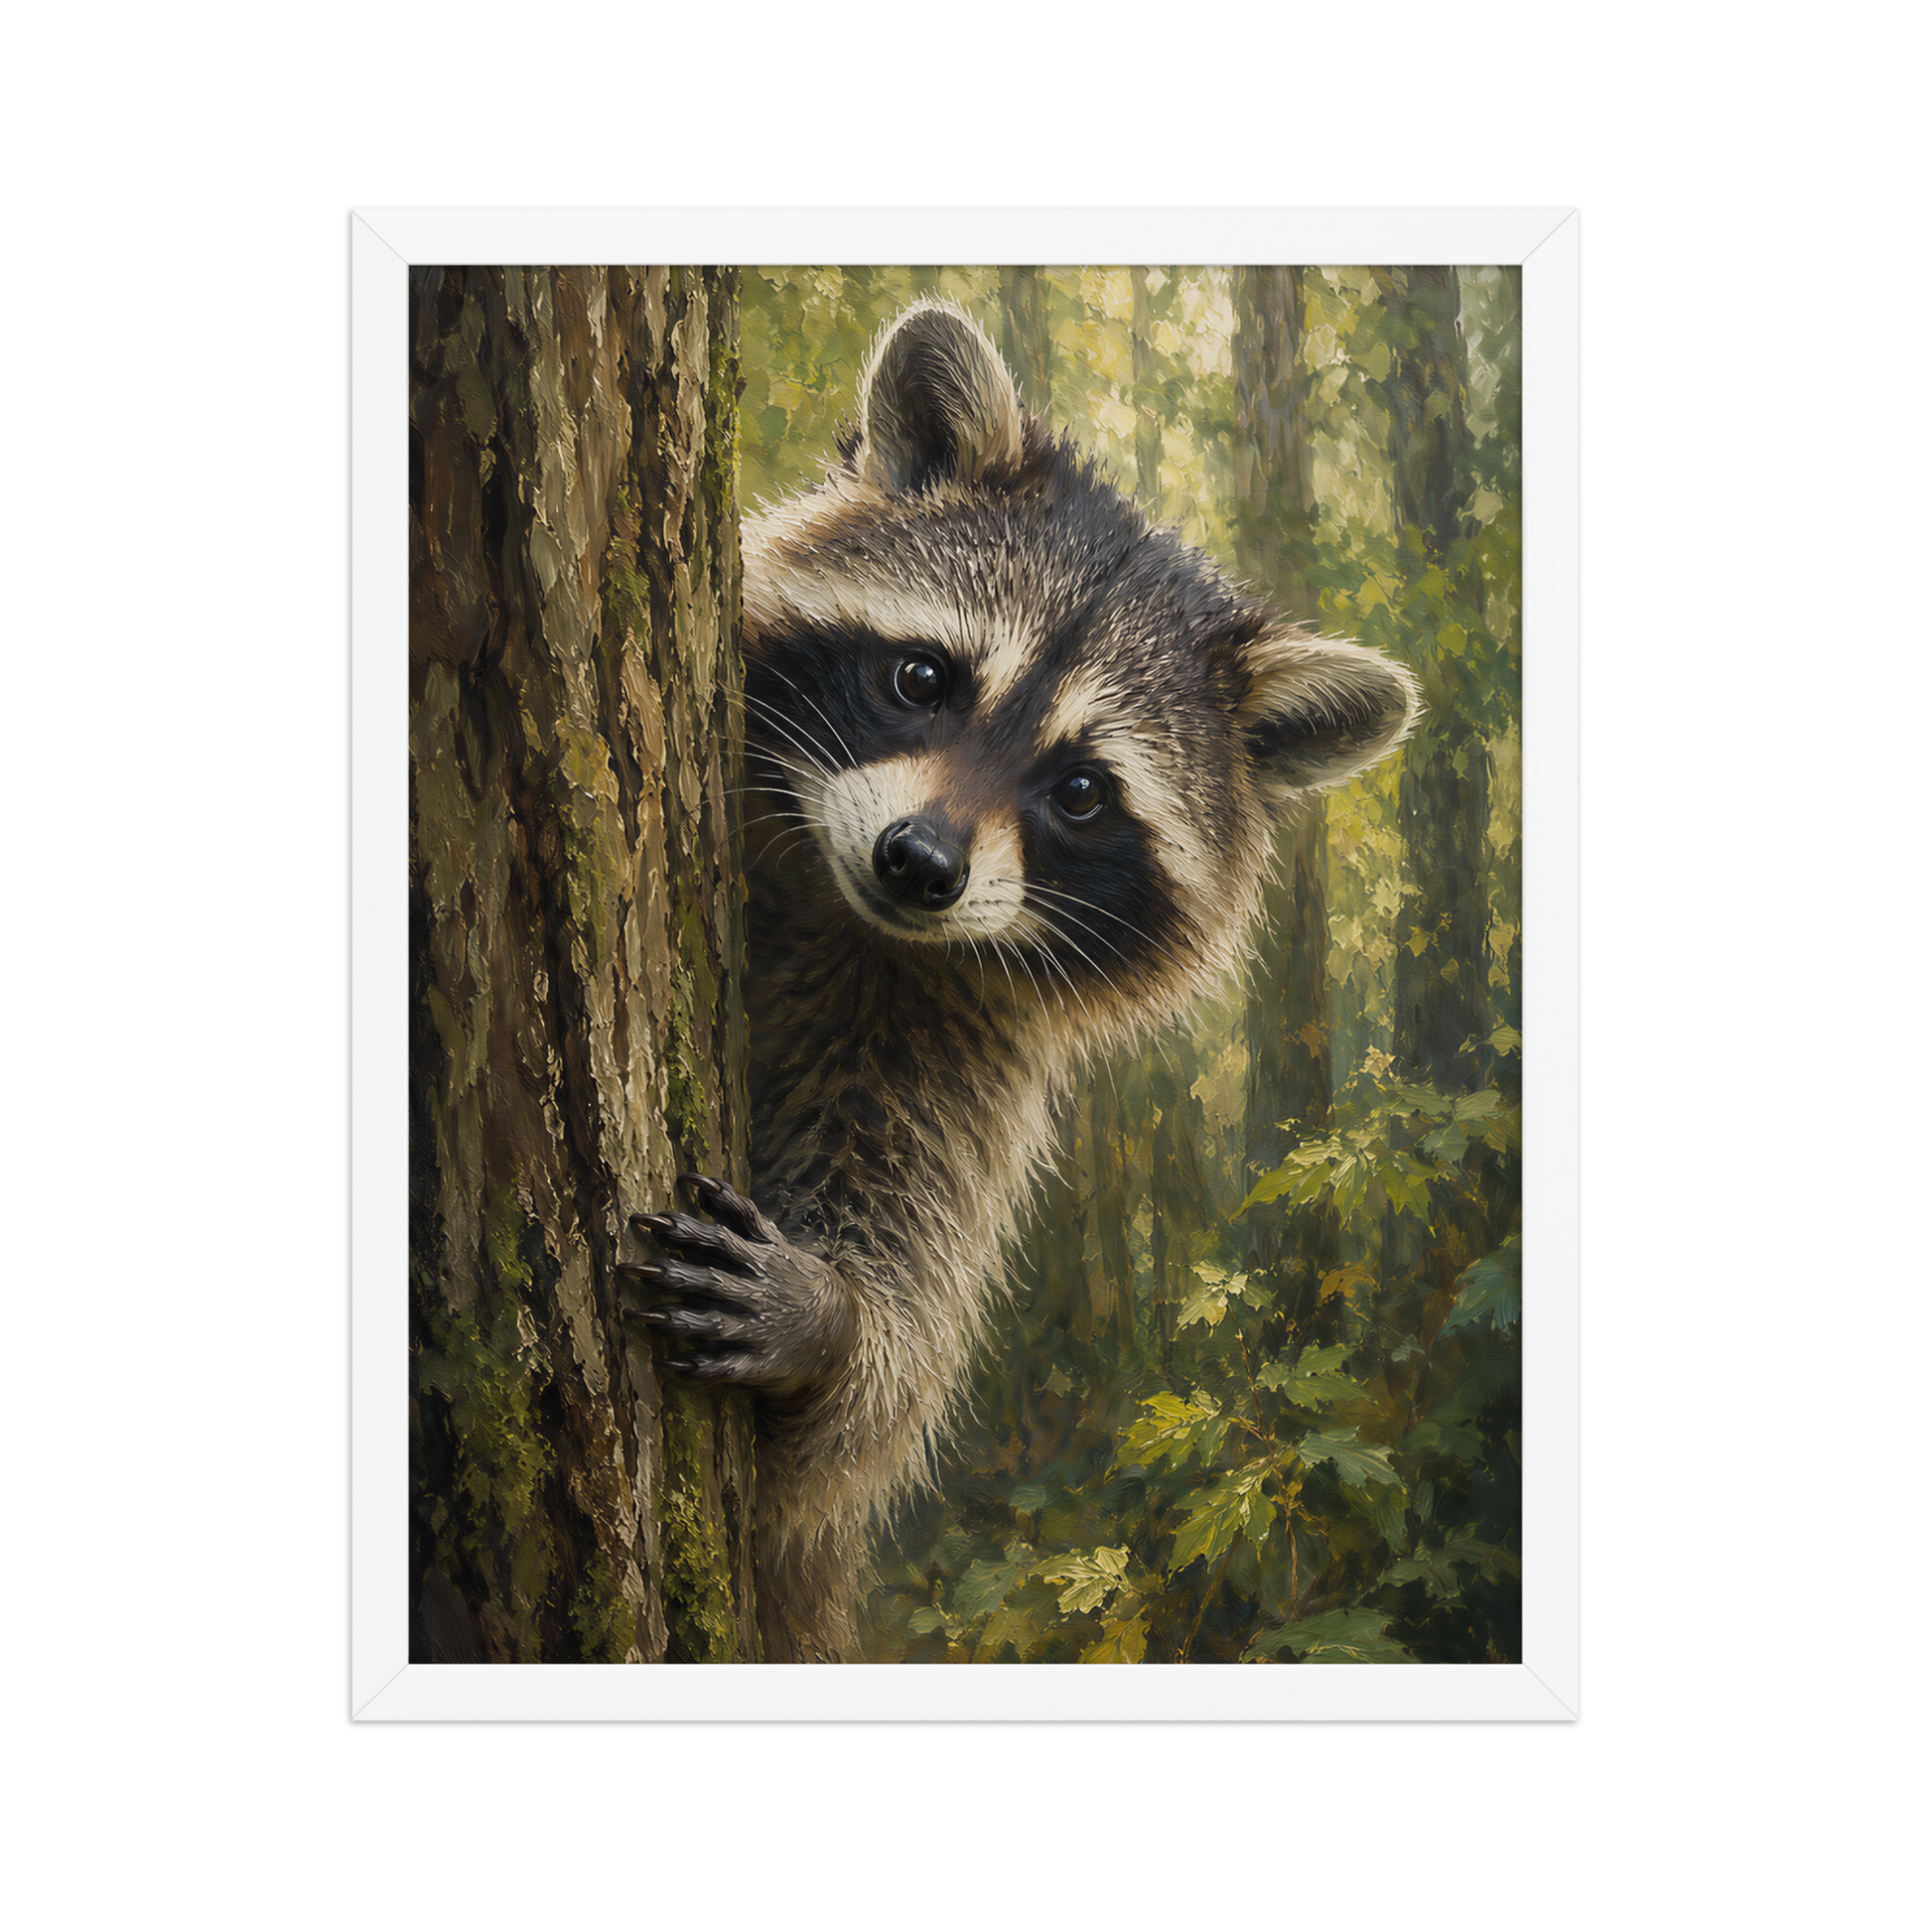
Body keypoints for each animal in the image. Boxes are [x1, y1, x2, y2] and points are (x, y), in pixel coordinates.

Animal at [620, 296, 1420, 1662]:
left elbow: (865, 1405)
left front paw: (835, 1326)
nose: (920, 863)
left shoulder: (955, 1052)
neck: (843, 914)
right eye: (922, 677)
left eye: (1082, 791)